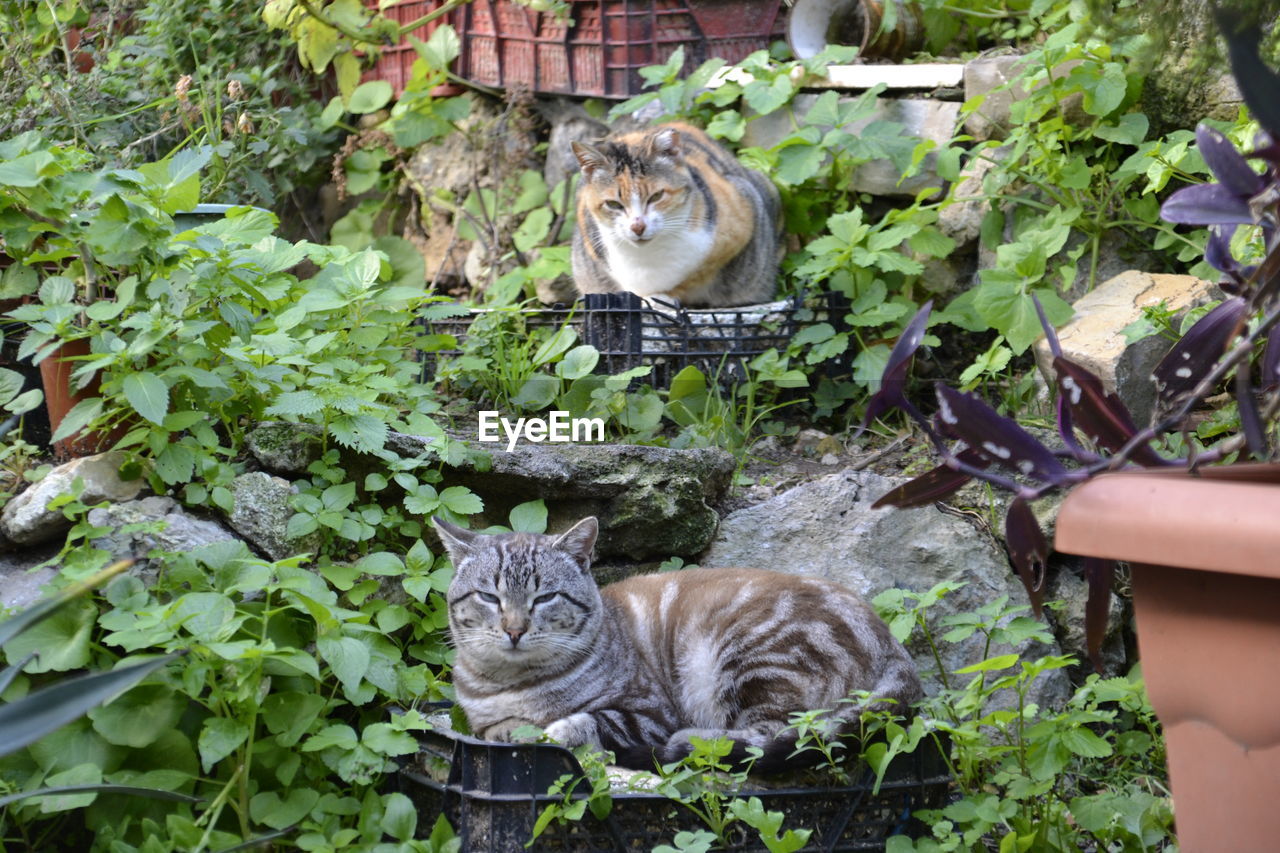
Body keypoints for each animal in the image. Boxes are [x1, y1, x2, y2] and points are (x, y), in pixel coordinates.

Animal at [432, 512, 921, 768]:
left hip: (747, 660)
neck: (511, 684)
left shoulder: (649, 713)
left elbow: (588, 721)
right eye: (489, 597)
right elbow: (495, 727)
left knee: (771, 737)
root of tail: (894, 647)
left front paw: (551, 729)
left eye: (545, 597)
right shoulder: (480, 719)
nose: (514, 629)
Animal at [570, 119, 778, 306]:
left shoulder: (738, 226)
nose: (638, 226)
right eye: (613, 204)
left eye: (656, 196)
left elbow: (693, 277)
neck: (647, 258)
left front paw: (660, 298)